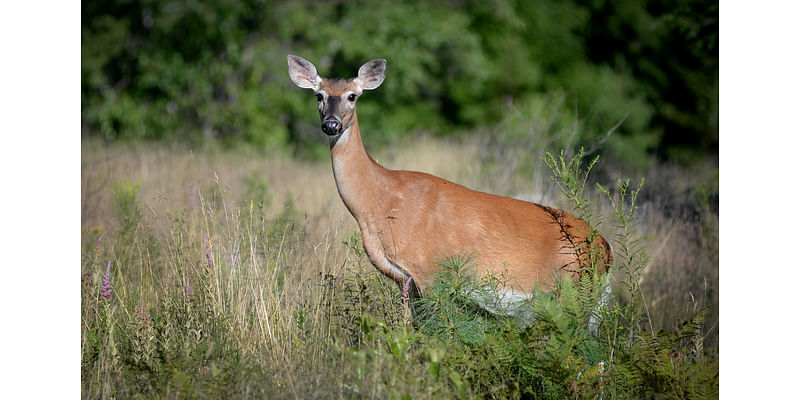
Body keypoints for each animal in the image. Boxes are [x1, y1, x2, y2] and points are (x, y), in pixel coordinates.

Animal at [288, 54, 612, 320]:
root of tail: (606, 250)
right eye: (319, 96)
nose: (331, 125)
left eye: (353, 96)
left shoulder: (430, 271)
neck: (379, 202)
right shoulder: (406, 281)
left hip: (573, 291)